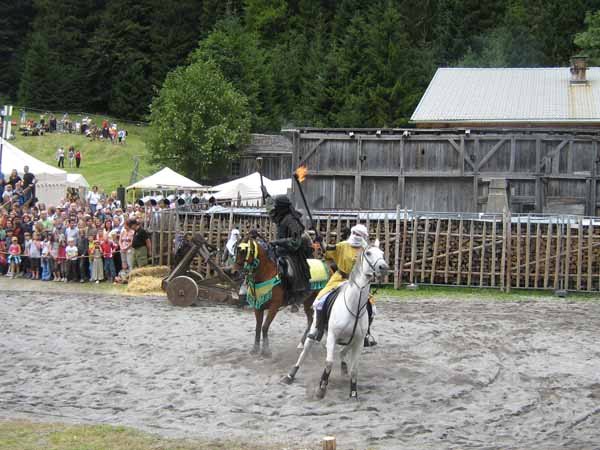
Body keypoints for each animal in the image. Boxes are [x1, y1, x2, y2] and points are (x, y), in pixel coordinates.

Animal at [282, 241, 390, 400]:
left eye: (382, 253)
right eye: (369, 253)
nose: (384, 267)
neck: (353, 306)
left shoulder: (358, 342)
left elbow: (354, 369)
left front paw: (353, 392)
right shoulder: (332, 336)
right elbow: (329, 363)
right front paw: (321, 389)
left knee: (342, 353)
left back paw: (343, 367)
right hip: (315, 330)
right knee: (305, 352)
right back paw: (290, 375)